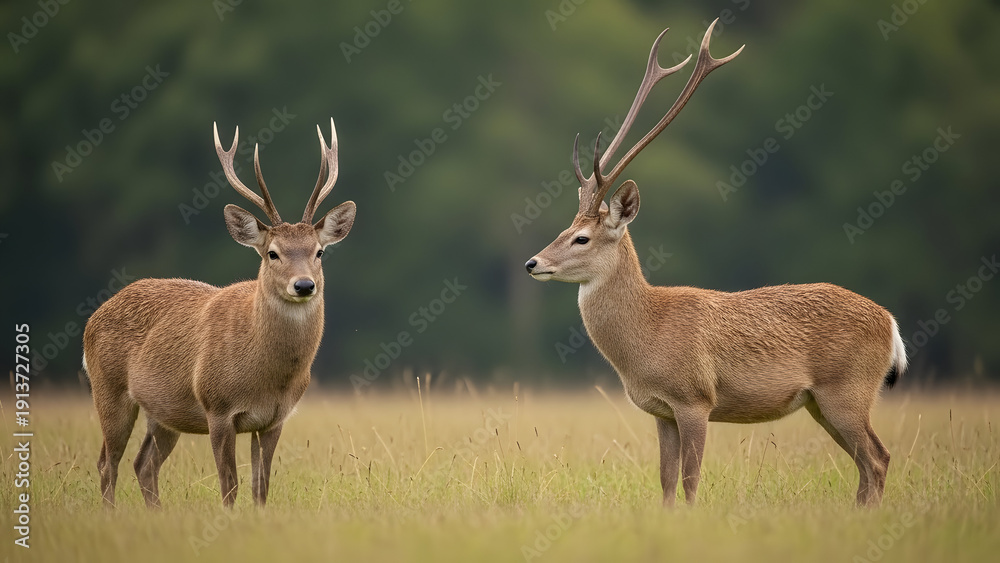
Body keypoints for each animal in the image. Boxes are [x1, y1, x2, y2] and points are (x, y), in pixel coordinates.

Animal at [82, 118, 357, 508]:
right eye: (272, 253)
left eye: (318, 252)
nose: (304, 285)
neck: (268, 377)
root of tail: (94, 317)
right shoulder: (218, 407)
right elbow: (230, 484)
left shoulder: (275, 419)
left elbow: (261, 486)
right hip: (108, 388)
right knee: (108, 462)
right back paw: (111, 513)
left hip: (163, 412)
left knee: (143, 463)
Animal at [525, 20, 907, 507]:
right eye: (564, 228)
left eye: (582, 237)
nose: (532, 262)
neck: (649, 331)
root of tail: (891, 323)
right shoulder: (661, 411)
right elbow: (666, 480)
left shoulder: (695, 399)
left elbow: (691, 479)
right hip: (823, 403)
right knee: (870, 461)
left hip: (847, 389)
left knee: (877, 458)